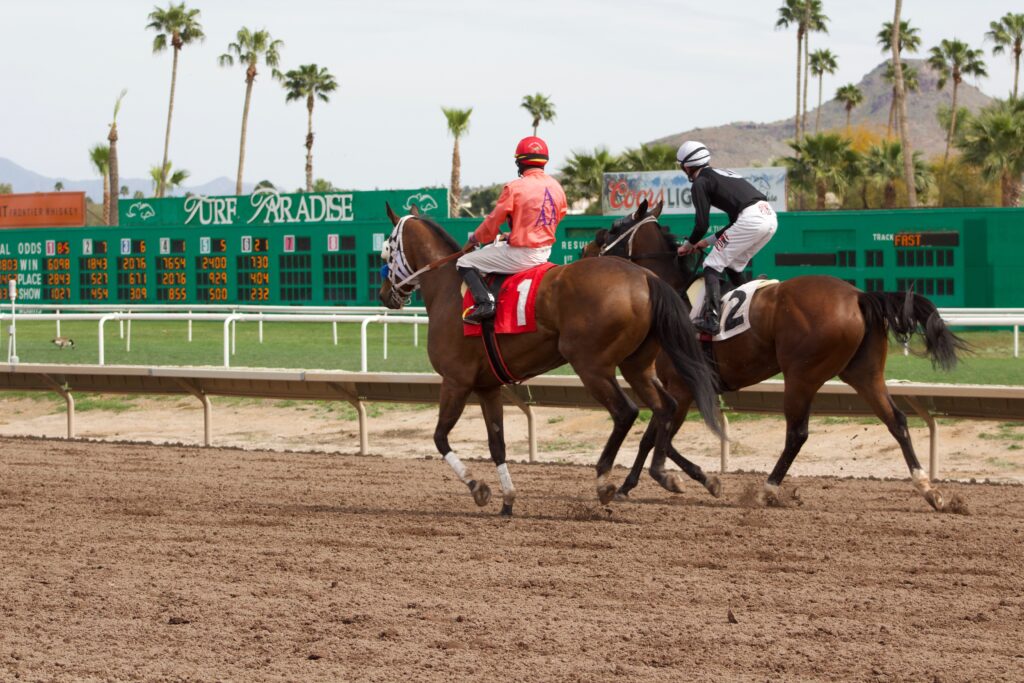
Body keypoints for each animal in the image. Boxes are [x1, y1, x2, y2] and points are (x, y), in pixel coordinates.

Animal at [376, 205, 720, 516]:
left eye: (386, 251)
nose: (383, 293)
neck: (448, 289)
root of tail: (646, 277)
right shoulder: (487, 387)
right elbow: (497, 443)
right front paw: (507, 500)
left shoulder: (455, 381)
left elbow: (439, 437)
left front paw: (479, 488)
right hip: (637, 366)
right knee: (665, 408)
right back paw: (664, 473)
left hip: (591, 366)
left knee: (626, 412)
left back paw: (605, 482)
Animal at [585, 200, 966, 509]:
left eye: (609, 231)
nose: (586, 255)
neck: (672, 293)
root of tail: (859, 295)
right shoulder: (684, 387)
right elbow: (655, 434)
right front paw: (636, 485)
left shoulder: (681, 385)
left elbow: (657, 435)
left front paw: (672, 480)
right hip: (863, 372)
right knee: (896, 421)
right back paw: (930, 490)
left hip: (802, 375)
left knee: (797, 433)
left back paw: (768, 489)